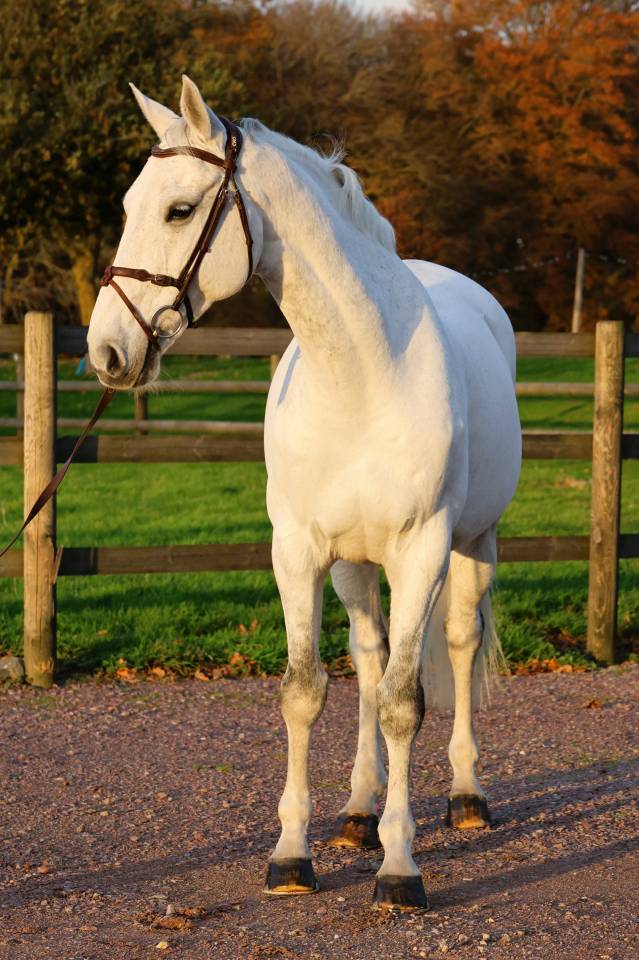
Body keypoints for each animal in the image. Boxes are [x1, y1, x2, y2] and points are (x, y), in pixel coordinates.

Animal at [87, 76, 521, 911]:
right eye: (129, 205)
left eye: (178, 210)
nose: (106, 353)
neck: (358, 373)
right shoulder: (296, 552)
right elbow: (306, 690)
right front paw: (293, 854)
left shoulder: (421, 550)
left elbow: (403, 702)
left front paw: (399, 867)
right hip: (353, 564)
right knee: (368, 657)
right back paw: (355, 811)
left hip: (470, 544)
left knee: (452, 645)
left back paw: (465, 796)